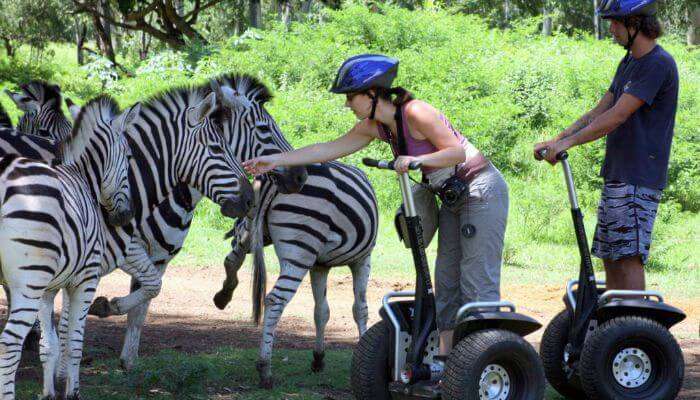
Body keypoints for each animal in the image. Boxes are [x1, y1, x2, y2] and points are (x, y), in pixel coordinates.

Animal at [0, 95, 136, 398]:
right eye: (129, 158)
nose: (125, 217)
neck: (84, 178)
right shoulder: (85, 281)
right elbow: (73, 343)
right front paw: (72, 392)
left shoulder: (47, 289)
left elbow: (49, 345)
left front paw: (49, 393)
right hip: (27, 284)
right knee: (8, 344)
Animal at [216, 159, 378, 388]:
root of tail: (273, 179)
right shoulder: (362, 259)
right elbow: (360, 309)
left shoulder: (319, 266)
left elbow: (321, 311)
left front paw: (318, 358)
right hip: (299, 250)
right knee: (275, 299)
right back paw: (265, 368)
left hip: (251, 229)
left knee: (231, 261)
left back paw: (223, 296)